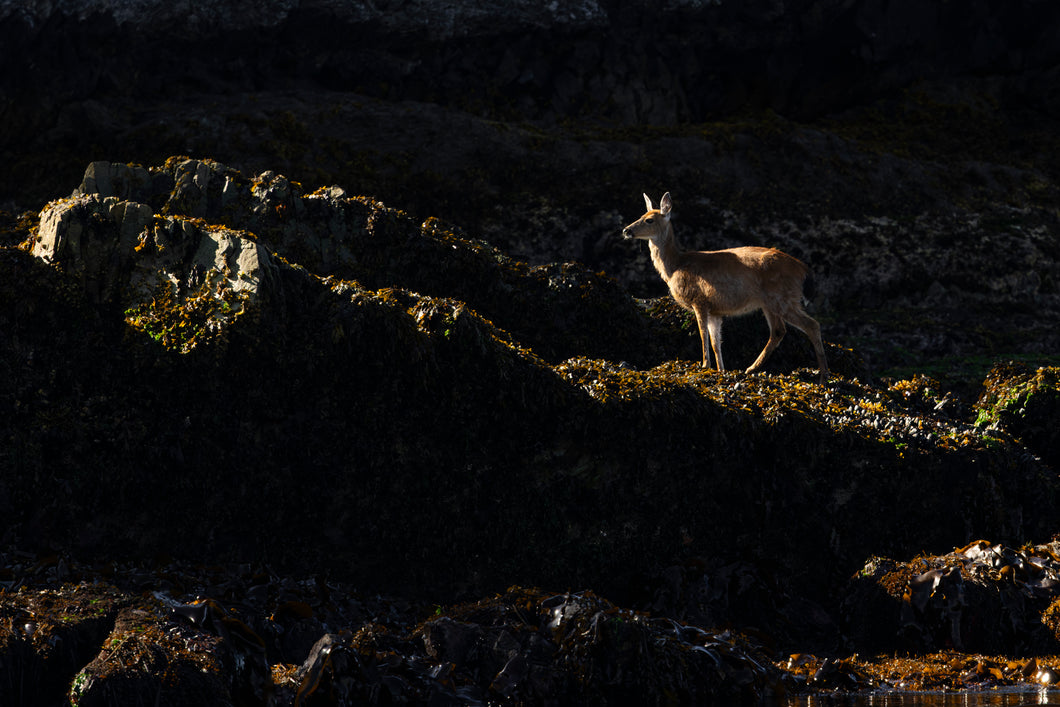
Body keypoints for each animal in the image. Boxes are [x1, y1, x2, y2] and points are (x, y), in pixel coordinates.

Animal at [622, 192, 829, 384]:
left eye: (649, 219)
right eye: (642, 214)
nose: (626, 230)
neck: (676, 266)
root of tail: (803, 269)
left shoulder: (699, 300)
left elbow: (703, 335)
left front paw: (704, 365)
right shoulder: (716, 311)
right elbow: (716, 342)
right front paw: (721, 370)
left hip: (782, 298)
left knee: (812, 325)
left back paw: (822, 378)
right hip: (770, 303)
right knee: (779, 331)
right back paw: (751, 369)